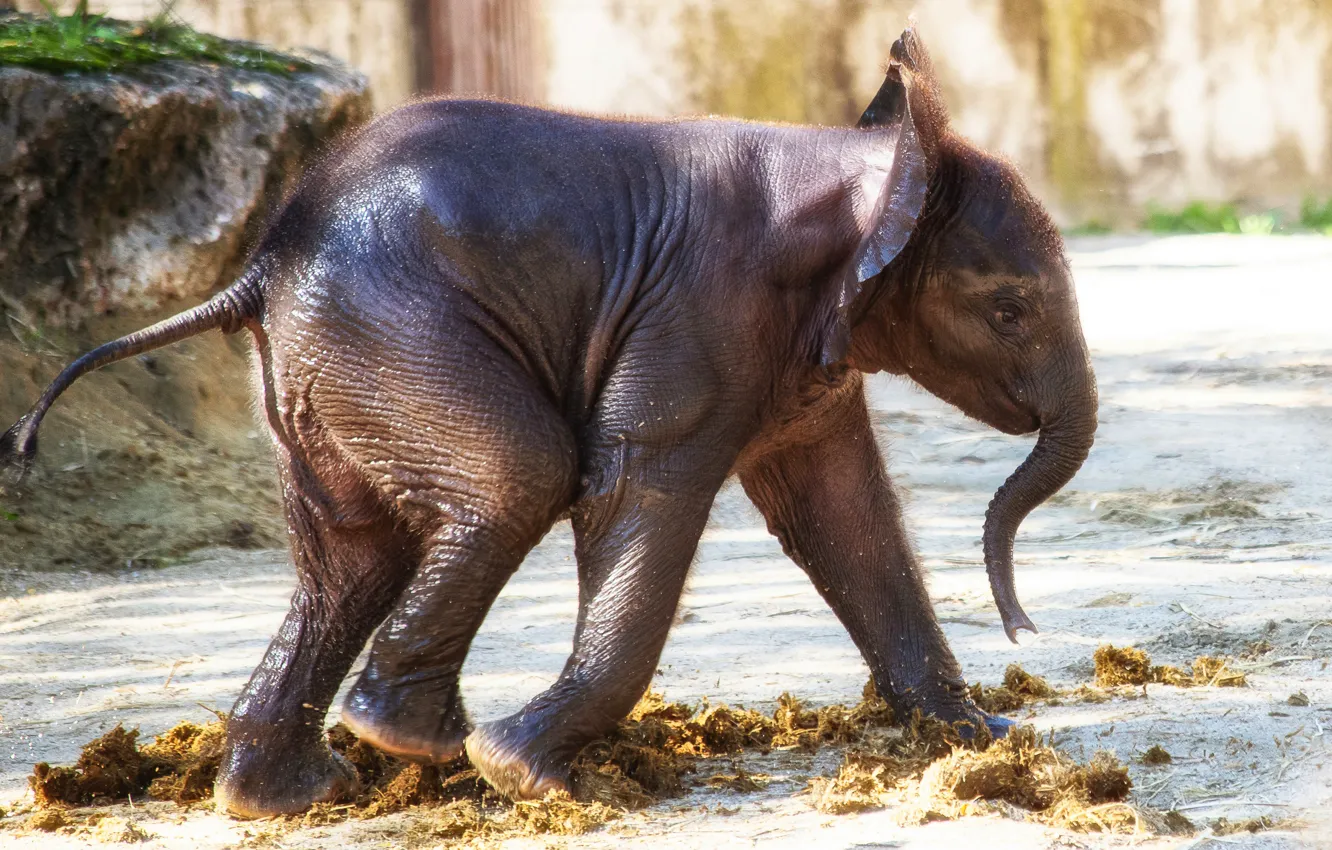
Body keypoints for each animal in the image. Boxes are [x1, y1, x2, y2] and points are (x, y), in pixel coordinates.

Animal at [1, 28, 1096, 817]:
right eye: (1011, 309)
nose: (1025, 626)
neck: (862, 168)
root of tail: (262, 264)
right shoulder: (701, 307)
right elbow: (636, 485)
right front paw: (528, 773)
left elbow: (845, 511)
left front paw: (988, 744)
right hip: (393, 333)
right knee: (515, 475)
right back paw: (423, 745)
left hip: (327, 372)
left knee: (352, 554)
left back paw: (294, 794)